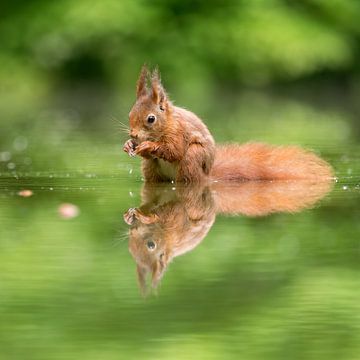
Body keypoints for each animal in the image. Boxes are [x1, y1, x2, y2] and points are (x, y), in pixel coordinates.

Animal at [124, 66, 334, 183]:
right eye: (130, 114)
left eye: (151, 119)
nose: (133, 135)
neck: (167, 123)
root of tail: (208, 176)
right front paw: (128, 146)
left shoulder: (179, 132)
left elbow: (173, 150)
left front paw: (148, 145)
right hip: (151, 169)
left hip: (192, 159)